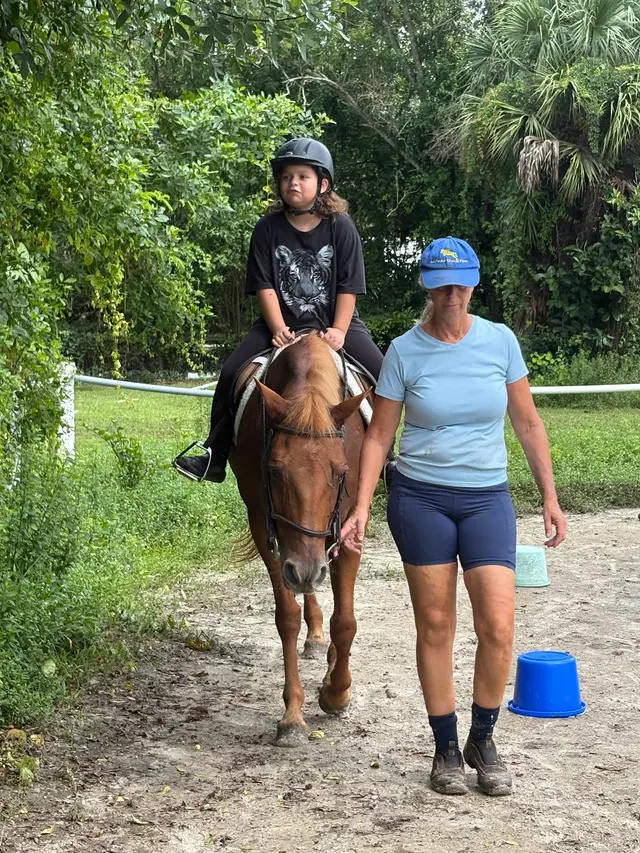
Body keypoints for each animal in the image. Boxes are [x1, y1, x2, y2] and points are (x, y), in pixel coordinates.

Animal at [229, 333, 368, 747]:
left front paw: (337, 692)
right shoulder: (265, 526)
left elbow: (346, 621)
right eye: (275, 471)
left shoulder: (348, 525)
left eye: (340, 471)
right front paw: (292, 714)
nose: (306, 569)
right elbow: (287, 617)